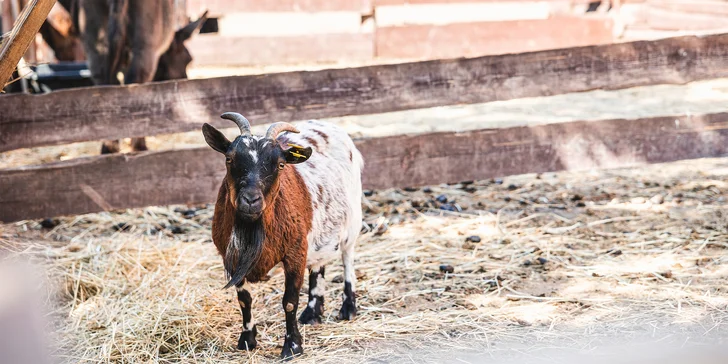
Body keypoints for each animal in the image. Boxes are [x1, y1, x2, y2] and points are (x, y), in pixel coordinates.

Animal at [202, 112, 364, 360]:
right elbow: (244, 300)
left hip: (352, 219)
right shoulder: (232, 258)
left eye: (280, 165)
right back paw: (312, 313)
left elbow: (289, 302)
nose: (250, 200)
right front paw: (247, 340)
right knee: (318, 264)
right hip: (318, 229)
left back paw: (348, 308)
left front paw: (292, 347)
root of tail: (327, 123)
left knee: (348, 258)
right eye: (229, 159)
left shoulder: (295, 252)